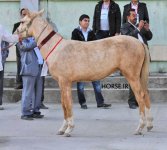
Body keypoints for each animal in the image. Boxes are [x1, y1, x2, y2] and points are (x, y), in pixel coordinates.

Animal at [15, 8, 153, 137]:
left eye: (22, 21)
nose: (15, 33)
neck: (56, 48)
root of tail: (139, 42)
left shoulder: (65, 82)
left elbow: (68, 104)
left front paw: (69, 129)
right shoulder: (61, 83)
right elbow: (63, 104)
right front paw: (62, 128)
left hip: (132, 76)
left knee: (140, 97)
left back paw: (140, 128)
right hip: (139, 76)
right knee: (146, 95)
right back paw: (149, 125)